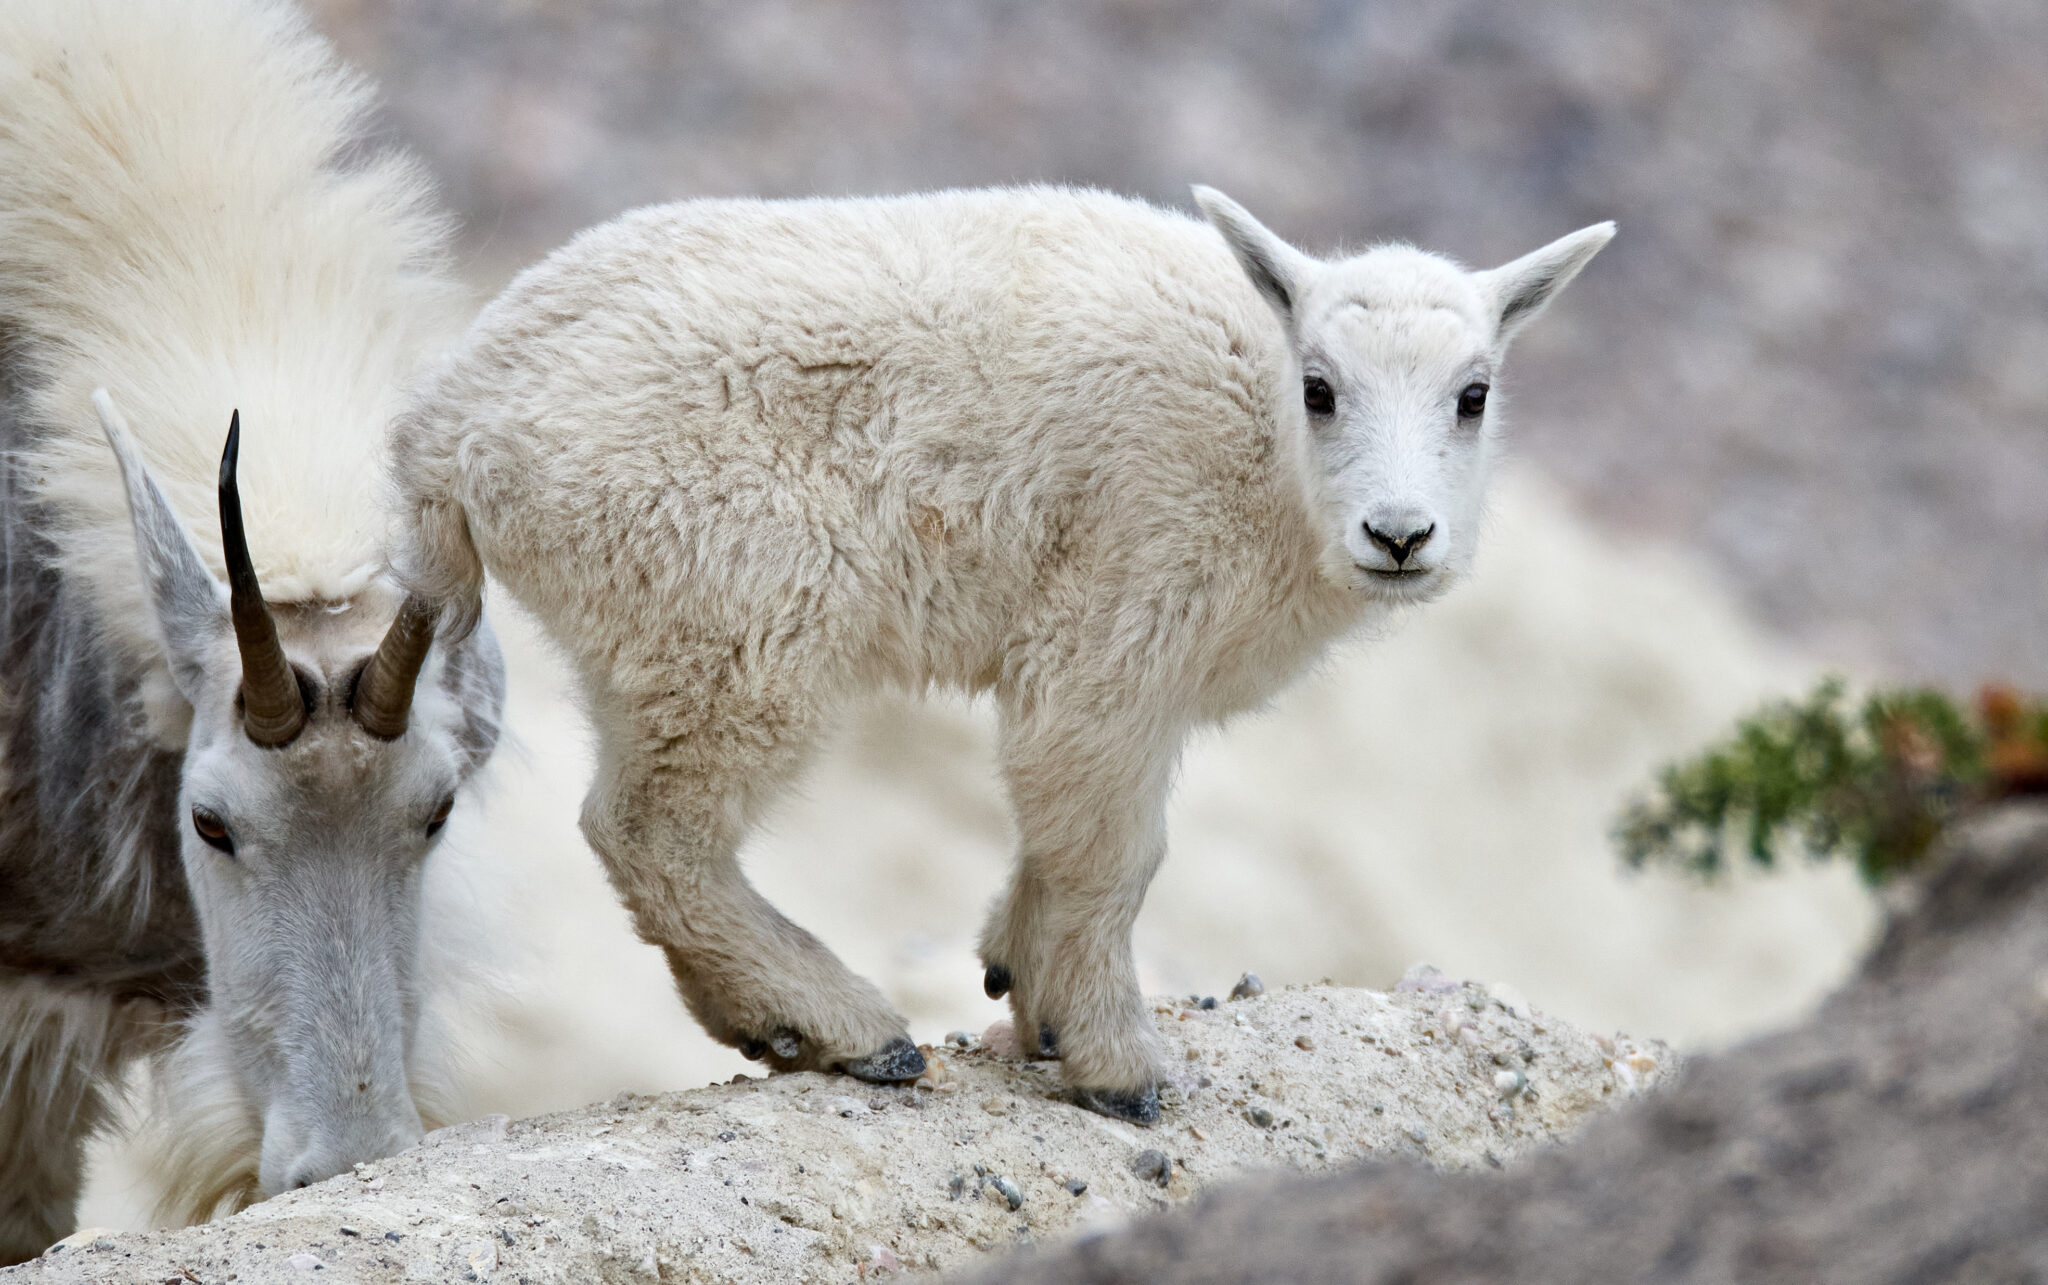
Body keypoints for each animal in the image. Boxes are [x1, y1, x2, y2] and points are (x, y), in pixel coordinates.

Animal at [393, 186, 1611, 1123]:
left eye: (1474, 393)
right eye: (1319, 388)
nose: (1399, 535)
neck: (1261, 447)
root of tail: (445, 425)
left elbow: (1062, 836)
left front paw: (1025, 985)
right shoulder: (1118, 624)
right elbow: (1110, 853)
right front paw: (1116, 1064)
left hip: (645, 638)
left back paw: (767, 1022)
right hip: (731, 622)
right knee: (651, 828)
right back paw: (843, 1023)